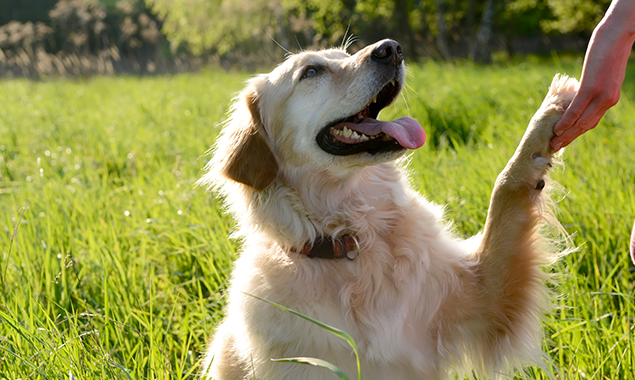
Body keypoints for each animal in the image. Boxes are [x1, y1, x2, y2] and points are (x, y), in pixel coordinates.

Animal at [200, 40, 580, 378]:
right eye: (310, 71)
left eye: (345, 54)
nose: (391, 48)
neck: (354, 241)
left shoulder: (483, 297)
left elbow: (505, 192)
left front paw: (550, 111)